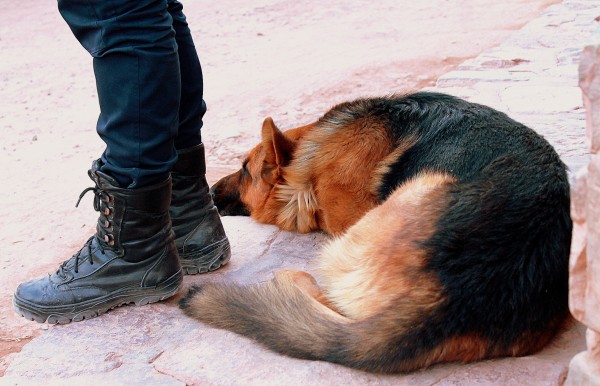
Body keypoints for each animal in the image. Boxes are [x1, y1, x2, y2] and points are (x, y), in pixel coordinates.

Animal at [179, 92, 572, 372]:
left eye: (245, 170)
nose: (210, 191)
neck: (315, 149)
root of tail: (457, 294)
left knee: (334, 308)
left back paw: (287, 283)